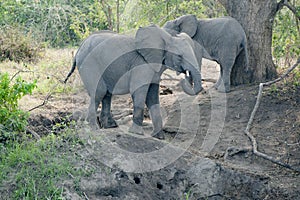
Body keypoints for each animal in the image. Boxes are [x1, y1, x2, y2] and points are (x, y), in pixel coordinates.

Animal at [63, 24, 204, 139]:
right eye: (179, 57)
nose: (185, 76)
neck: (166, 38)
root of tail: (79, 48)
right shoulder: (142, 64)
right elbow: (139, 91)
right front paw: (136, 133)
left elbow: (153, 97)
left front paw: (158, 137)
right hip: (89, 64)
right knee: (99, 92)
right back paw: (93, 128)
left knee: (107, 94)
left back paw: (110, 126)